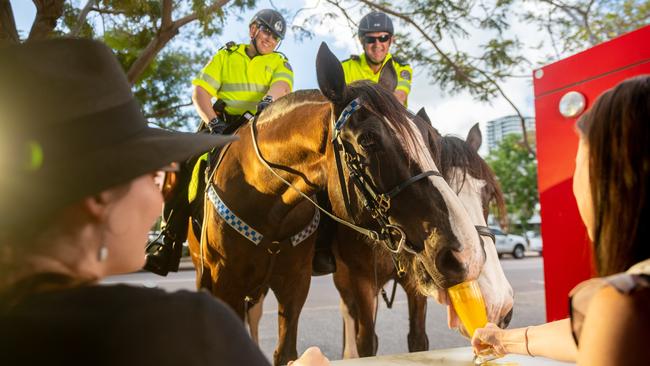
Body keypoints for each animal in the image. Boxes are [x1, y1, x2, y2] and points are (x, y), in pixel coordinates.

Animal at [186, 43, 480, 366]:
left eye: (429, 140)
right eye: (368, 140)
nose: (463, 252)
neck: (265, 202)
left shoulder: (296, 285)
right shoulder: (227, 284)